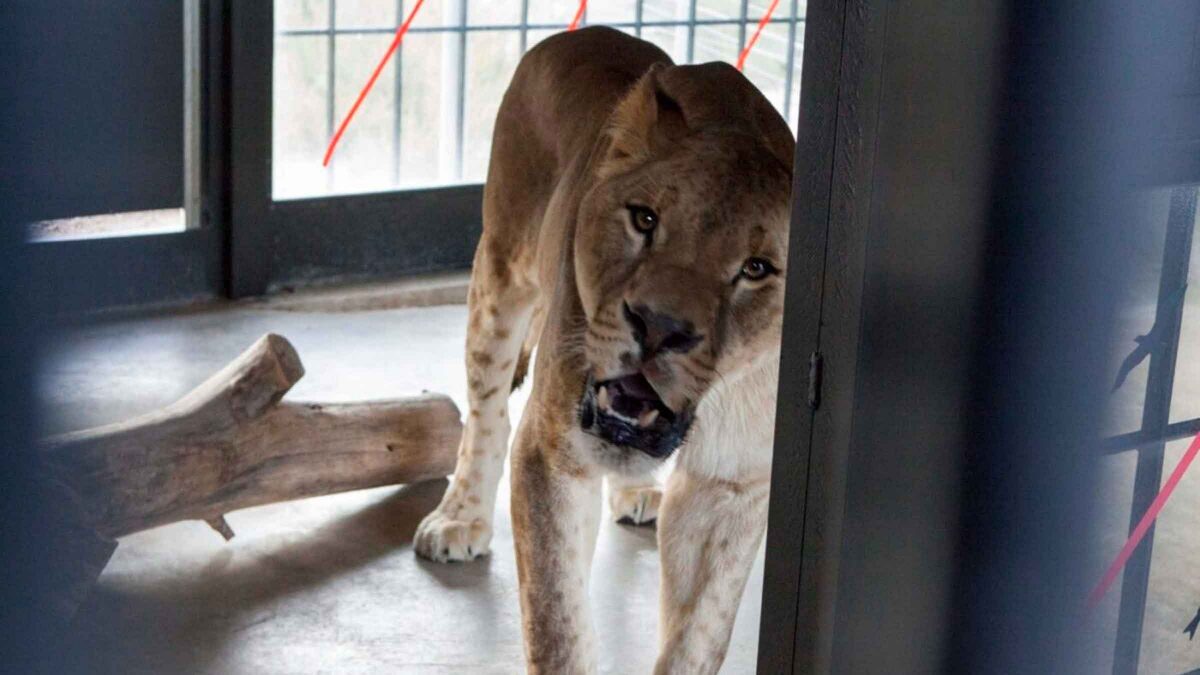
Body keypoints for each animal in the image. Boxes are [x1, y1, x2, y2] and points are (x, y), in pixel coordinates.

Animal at [414, 26, 794, 673]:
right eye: (644, 219)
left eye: (756, 269)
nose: (658, 326)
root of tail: (579, 34)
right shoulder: (552, 454)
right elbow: (557, 626)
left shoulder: (730, 485)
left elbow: (699, 637)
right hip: (501, 272)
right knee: (486, 410)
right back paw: (459, 516)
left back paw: (637, 491)